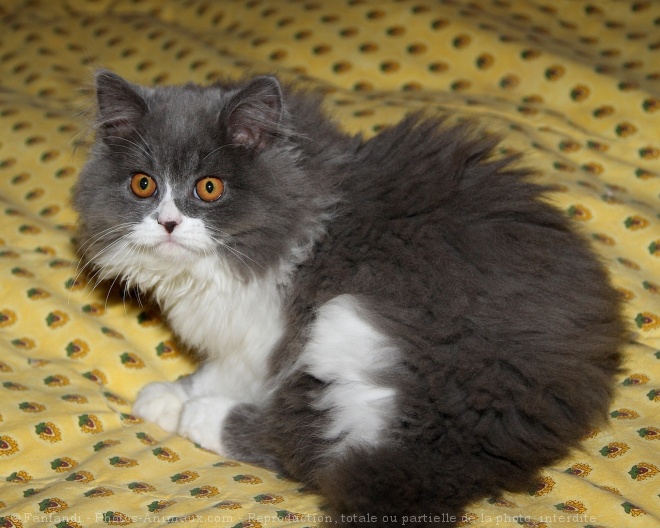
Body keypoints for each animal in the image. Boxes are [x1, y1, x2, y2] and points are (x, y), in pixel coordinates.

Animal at [75, 71, 628, 528]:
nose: (168, 222)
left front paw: (182, 400)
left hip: (347, 323)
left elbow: (233, 372)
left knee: (308, 448)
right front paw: (173, 392)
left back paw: (207, 417)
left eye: (209, 188)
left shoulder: (269, 330)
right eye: (143, 184)